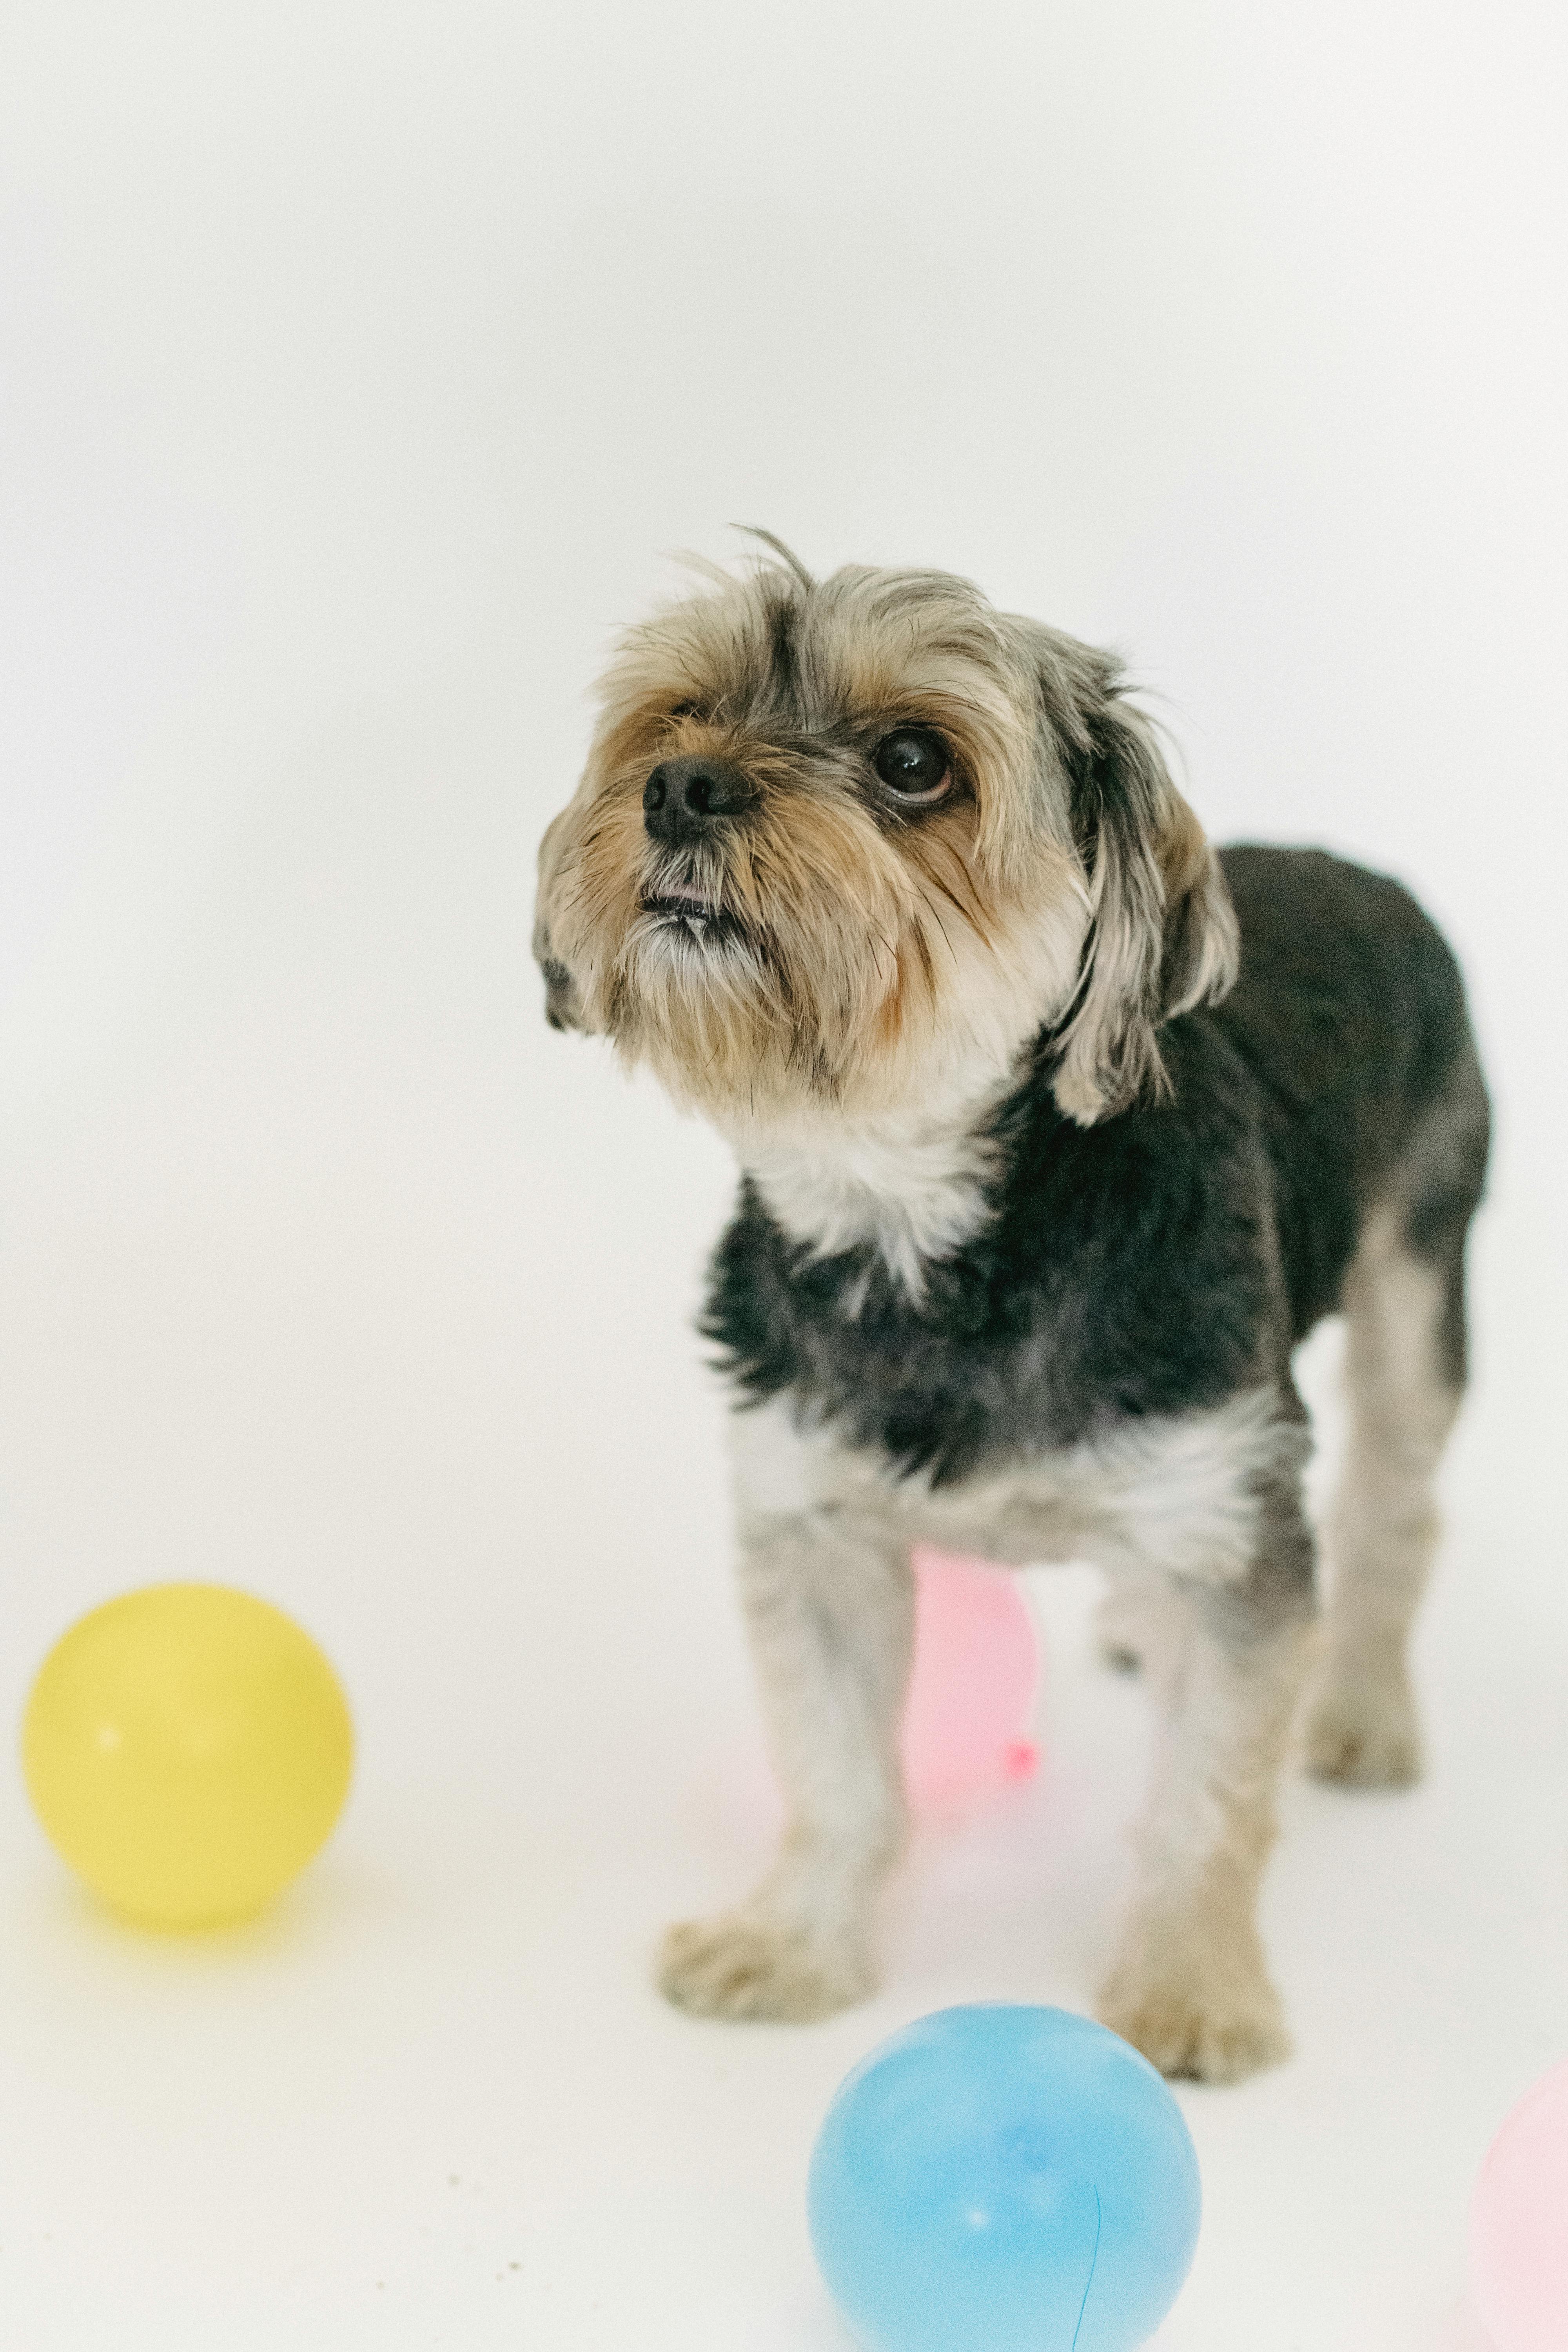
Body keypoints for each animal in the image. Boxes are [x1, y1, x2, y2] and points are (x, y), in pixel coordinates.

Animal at [534, 541, 1495, 2089]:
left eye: (913, 761)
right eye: (677, 712)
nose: (678, 787)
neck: (922, 1229)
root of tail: (1364, 873)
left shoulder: (1231, 1525)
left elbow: (1208, 1797)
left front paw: (1191, 1986)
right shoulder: (813, 1527)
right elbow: (835, 1768)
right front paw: (792, 1942)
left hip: (1423, 1262)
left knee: (1393, 1507)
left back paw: (1359, 1708)